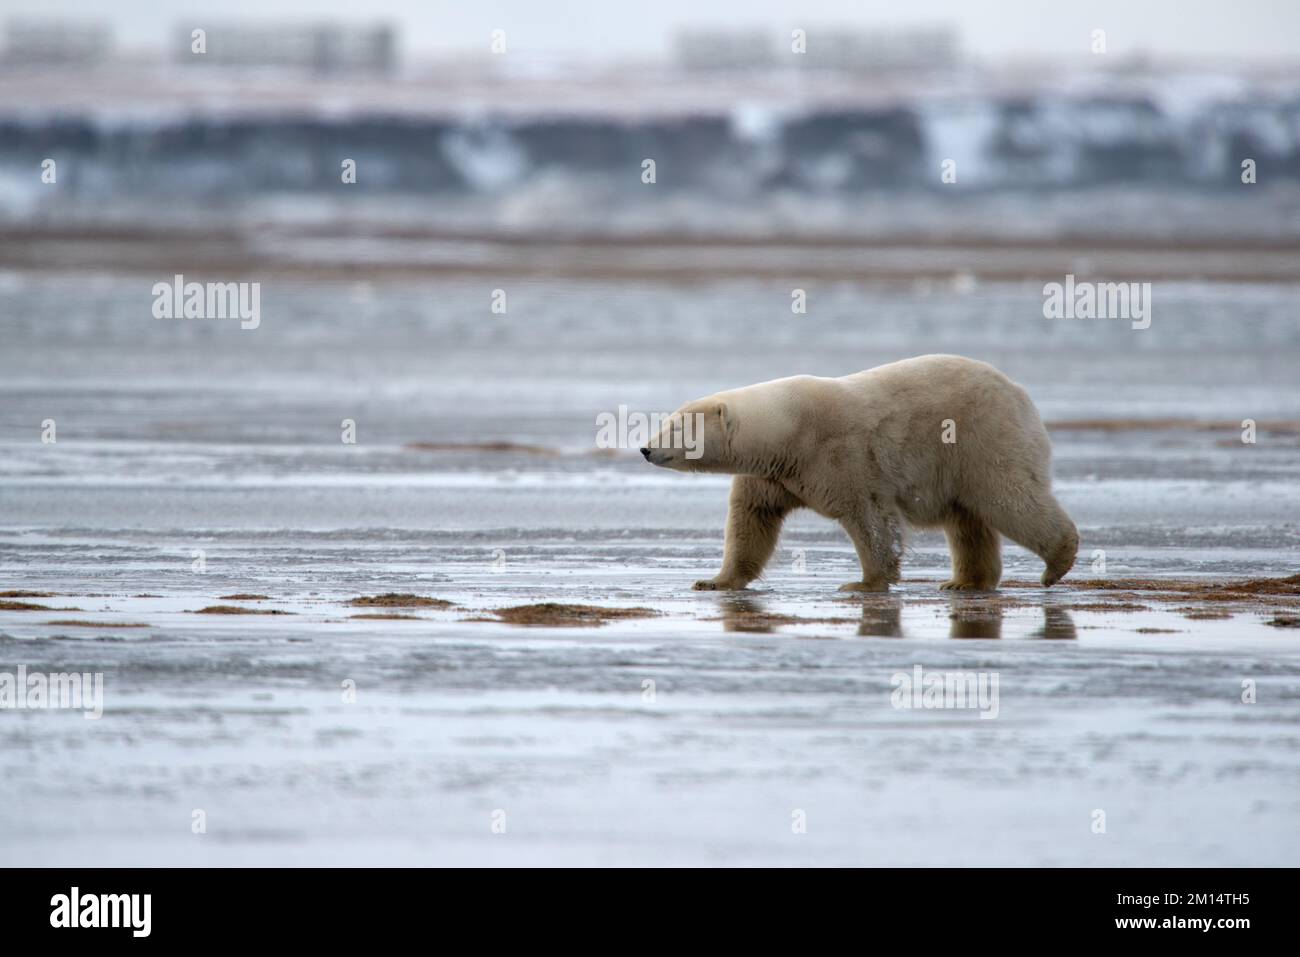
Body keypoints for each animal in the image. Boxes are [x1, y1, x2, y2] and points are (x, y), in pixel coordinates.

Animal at [641, 354, 1078, 592]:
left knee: (1009, 498)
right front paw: (714, 580)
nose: (645, 449)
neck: (788, 427)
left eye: (677, 428)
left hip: (981, 440)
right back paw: (964, 581)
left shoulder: (840, 454)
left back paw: (1057, 562)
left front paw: (864, 583)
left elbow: (869, 516)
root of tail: (1020, 393)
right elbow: (752, 519)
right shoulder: (773, 474)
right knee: (967, 520)